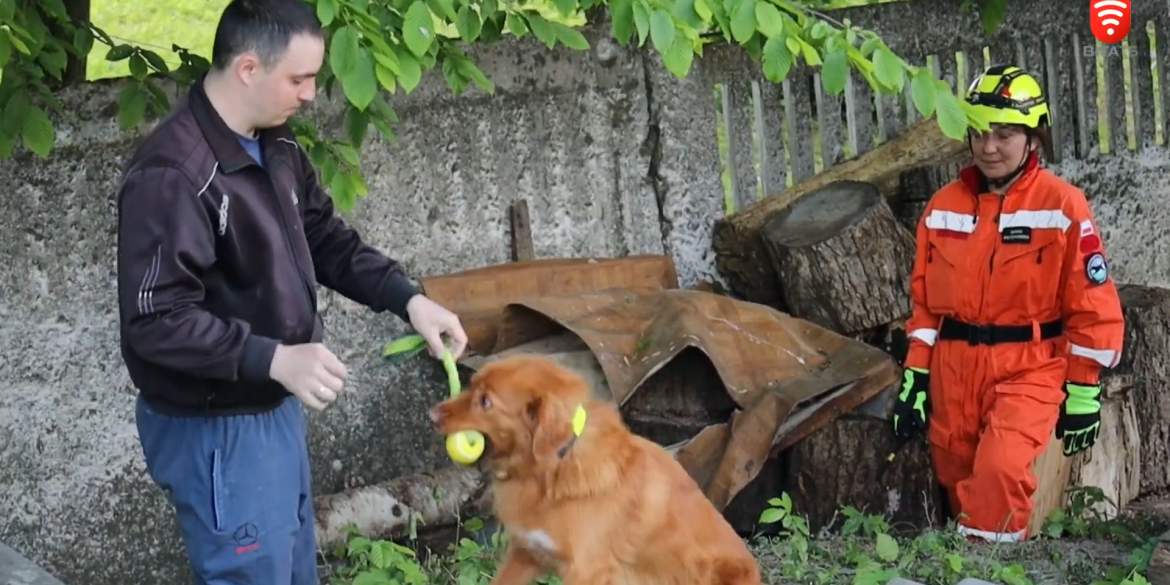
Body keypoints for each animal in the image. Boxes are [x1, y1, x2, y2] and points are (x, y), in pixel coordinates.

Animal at [428, 351, 758, 585]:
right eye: (472, 387)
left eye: (486, 402)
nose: (431, 414)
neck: (552, 469)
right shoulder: (527, 553)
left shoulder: (587, 571)